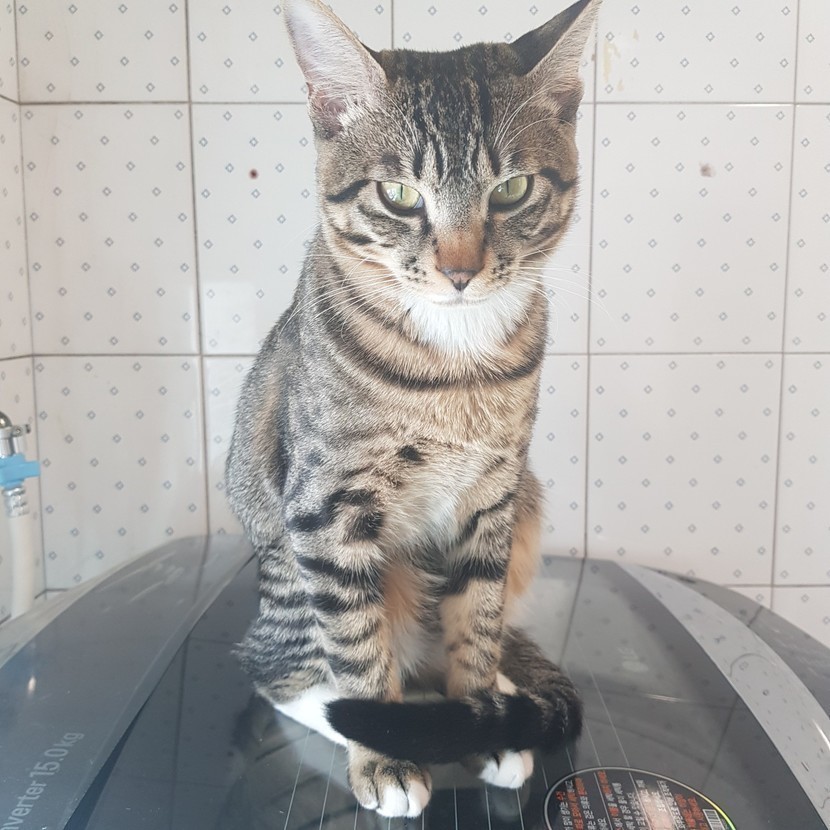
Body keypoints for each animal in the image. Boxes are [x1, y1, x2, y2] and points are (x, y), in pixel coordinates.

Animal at [225, 0, 598, 818]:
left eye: (512, 189)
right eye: (398, 196)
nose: (460, 271)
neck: (453, 365)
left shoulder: (495, 493)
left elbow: (477, 616)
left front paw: (483, 717)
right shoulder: (325, 505)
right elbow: (355, 641)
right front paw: (383, 753)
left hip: (529, 503)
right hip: (286, 568)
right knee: (275, 669)